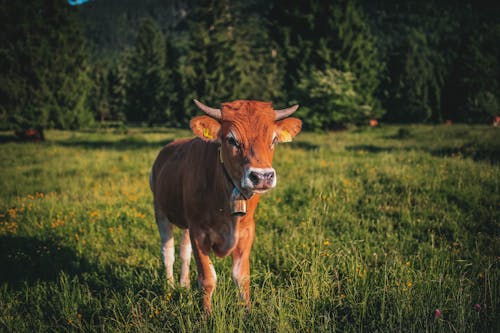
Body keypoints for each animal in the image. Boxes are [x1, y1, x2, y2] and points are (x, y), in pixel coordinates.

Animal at [149, 98, 300, 312]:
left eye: (273, 140)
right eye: (232, 140)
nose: (262, 177)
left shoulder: (246, 232)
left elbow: (241, 277)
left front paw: (248, 313)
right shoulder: (199, 232)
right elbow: (207, 279)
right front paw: (207, 314)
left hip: (185, 223)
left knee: (184, 252)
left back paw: (183, 285)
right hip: (160, 211)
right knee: (167, 252)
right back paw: (170, 288)